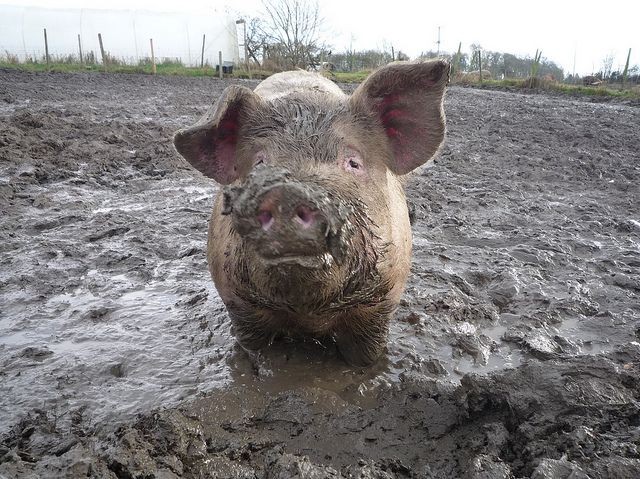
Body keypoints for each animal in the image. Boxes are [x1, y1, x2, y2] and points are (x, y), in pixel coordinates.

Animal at [172, 60, 448, 368]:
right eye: (259, 162)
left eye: (353, 162)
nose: (287, 193)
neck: (308, 314)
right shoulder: (238, 304)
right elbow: (252, 344)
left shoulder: (380, 305)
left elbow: (366, 357)